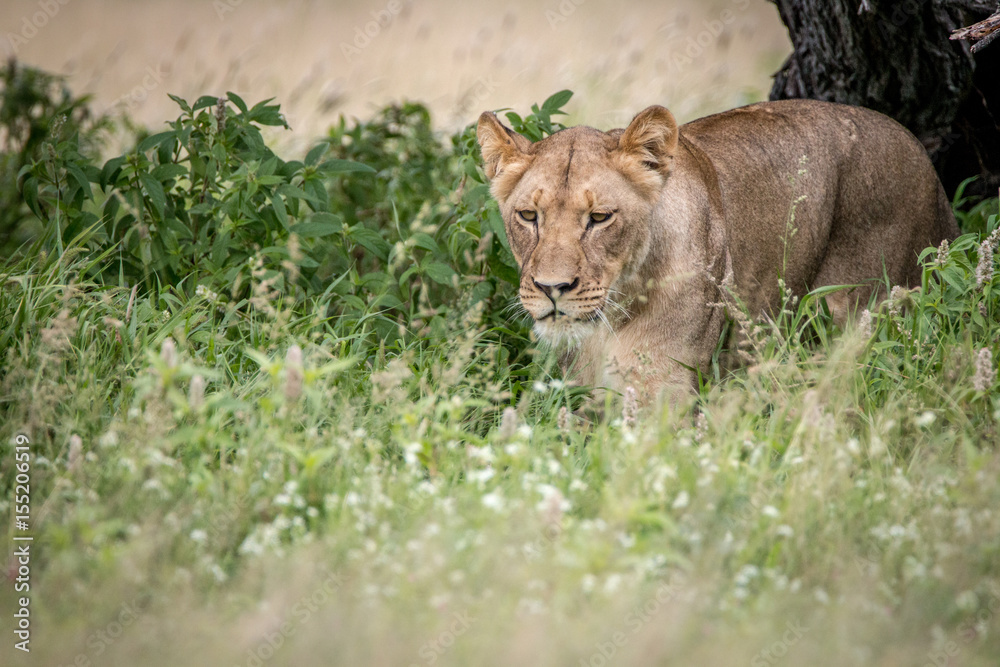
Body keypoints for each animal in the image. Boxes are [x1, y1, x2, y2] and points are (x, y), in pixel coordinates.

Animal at [477, 99, 959, 401]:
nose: (552, 288)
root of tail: (921, 153)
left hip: (860, 311)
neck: (610, 322)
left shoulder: (666, 389)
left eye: (599, 218)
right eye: (528, 216)